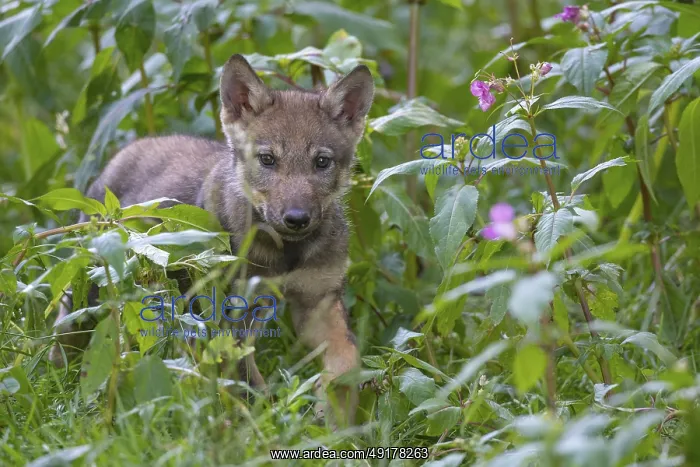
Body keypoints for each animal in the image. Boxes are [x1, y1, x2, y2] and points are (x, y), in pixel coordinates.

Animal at [50, 54, 375, 424]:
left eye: (322, 162)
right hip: (92, 296)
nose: (296, 219)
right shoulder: (230, 316)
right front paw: (266, 424)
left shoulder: (318, 300)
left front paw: (333, 415)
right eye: (267, 160)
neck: (286, 255)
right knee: (66, 335)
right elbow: (249, 386)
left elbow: (347, 357)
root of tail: (120, 156)